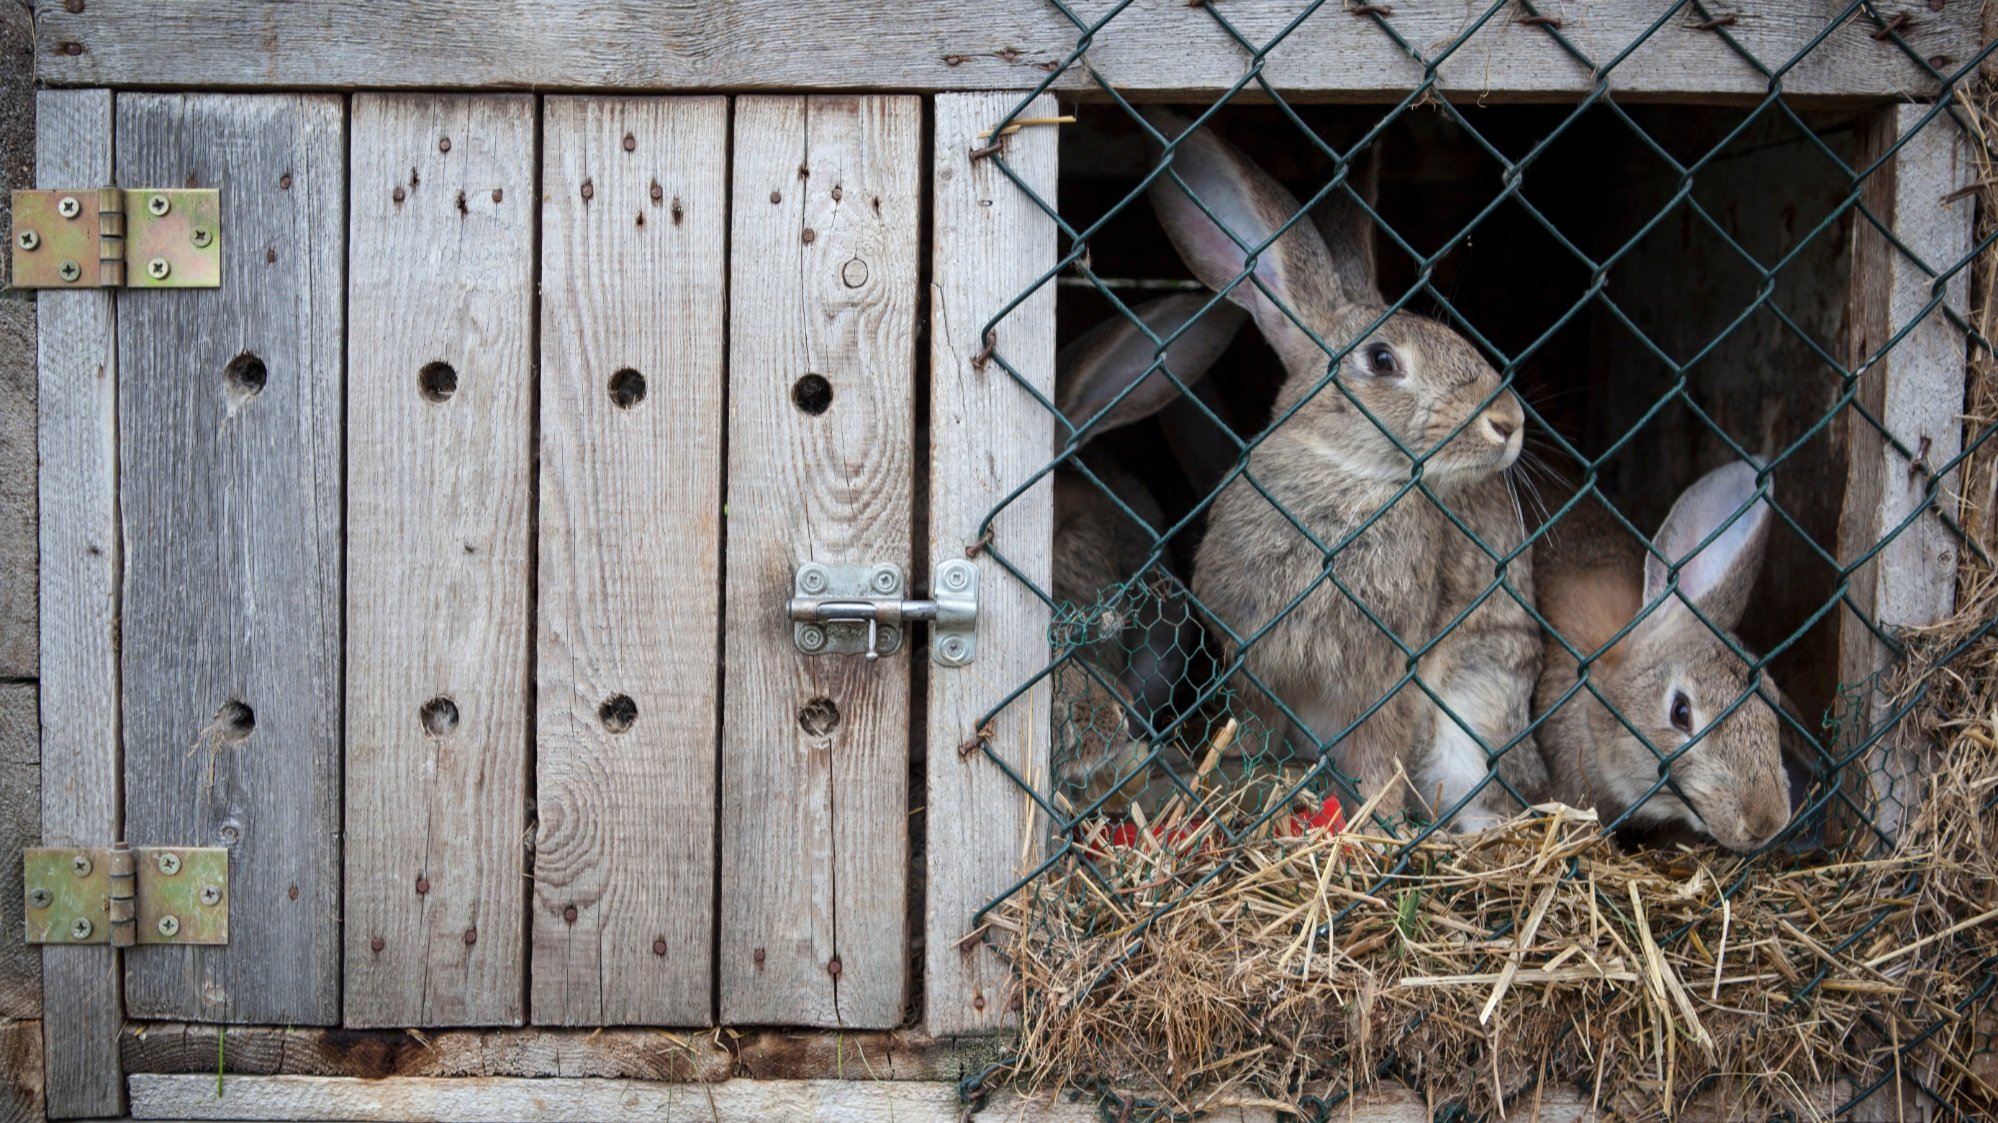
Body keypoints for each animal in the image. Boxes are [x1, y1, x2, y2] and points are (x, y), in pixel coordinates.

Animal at [1144, 109, 1544, 827]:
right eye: (1382, 360)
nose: (1508, 422)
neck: (1348, 476)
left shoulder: (1389, 675)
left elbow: (1381, 749)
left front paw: (1374, 822)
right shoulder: (1255, 665)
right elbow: (1256, 728)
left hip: (1477, 714)